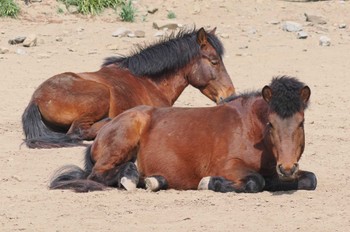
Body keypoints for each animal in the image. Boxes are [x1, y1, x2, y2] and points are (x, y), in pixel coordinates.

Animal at [22, 27, 235, 149]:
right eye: (214, 61)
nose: (230, 94)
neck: (150, 82)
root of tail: (36, 99)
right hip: (100, 95)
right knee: (78, 132)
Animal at [50, 75, 318, 192]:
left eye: (301, 123)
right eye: (271, 124)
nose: (287, 167)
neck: (250, 128)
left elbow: (310, 179)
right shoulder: (229, 166)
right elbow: (255, 181)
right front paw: (210, 182)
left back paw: (152, 180)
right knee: (98, 174)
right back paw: (129, 178)